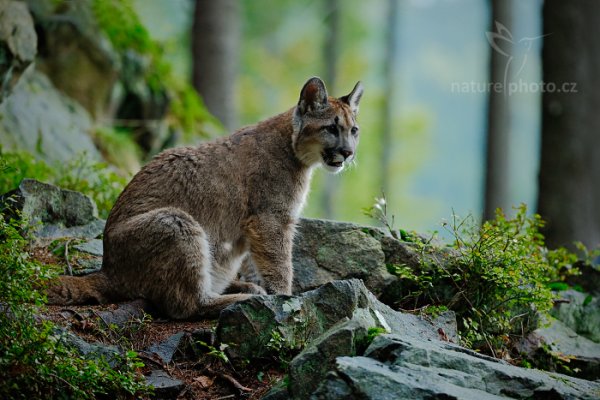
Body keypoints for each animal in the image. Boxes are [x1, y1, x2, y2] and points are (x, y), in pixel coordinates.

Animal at [47, 76, 364, 318]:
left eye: (354, 130)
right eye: (331, 128)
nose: (349, 153)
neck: (296, 151)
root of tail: (107, 268)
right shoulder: (270, 219)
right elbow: (279, 263)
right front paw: (285, 298)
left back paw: (244, 289)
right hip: (177, 221)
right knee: (184, 305)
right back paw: (242, 298)